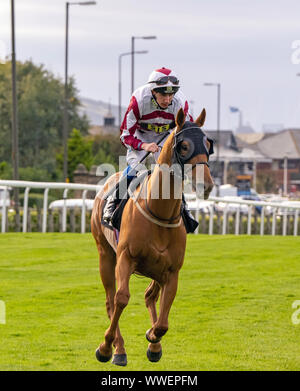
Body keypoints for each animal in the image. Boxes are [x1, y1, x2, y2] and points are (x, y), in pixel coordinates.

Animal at [91, 108, 213, 368]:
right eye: (184, 146)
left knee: (150, 296)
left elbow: (164, 321)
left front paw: (152, 337)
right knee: (111, 300)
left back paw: (153, 345)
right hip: (105, 255)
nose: (205, 185)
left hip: (155, 269)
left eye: (208, 144)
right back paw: (118, 349)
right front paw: (106, 348)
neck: (160, 211)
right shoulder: (125, 258)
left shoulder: (172, 270)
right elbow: (121, 299)